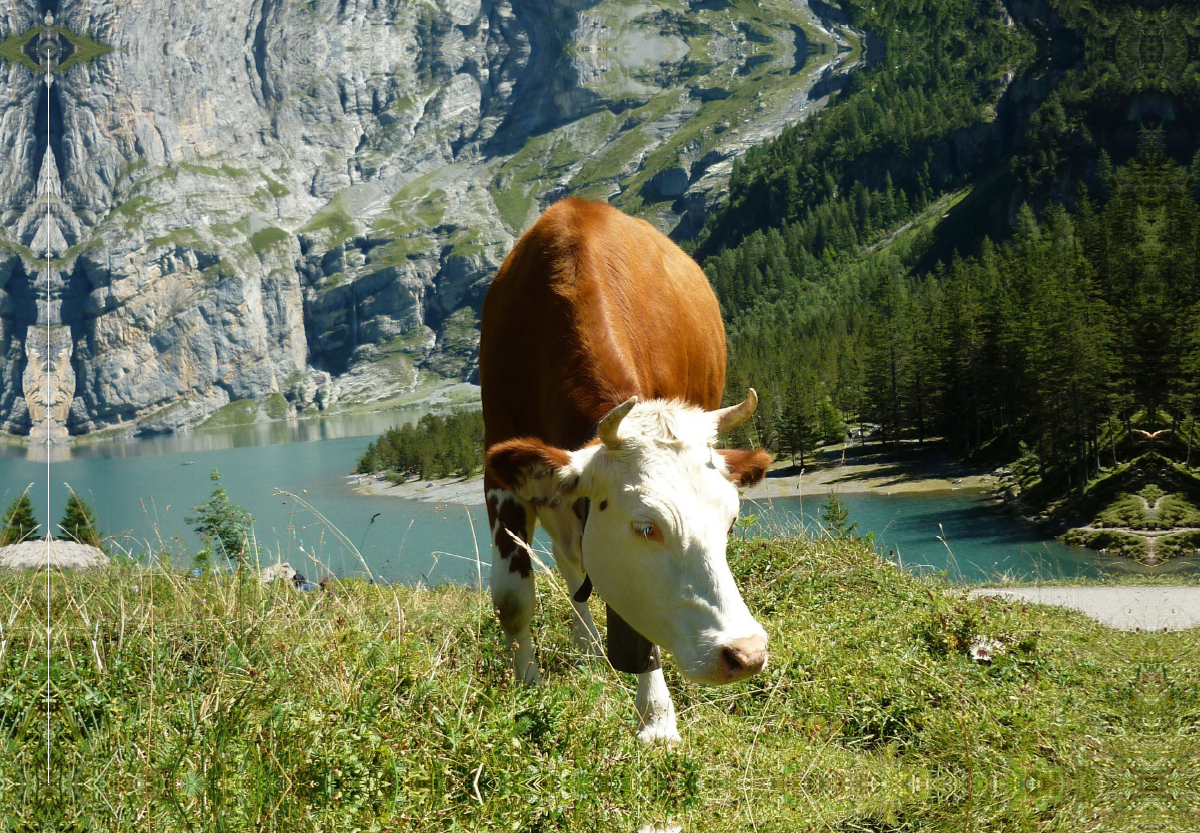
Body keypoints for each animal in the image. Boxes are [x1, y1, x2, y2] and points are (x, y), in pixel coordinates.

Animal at [477, 199, 768, 748]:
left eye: (731, 523)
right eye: (645, 527)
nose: (746, 653)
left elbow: (633, 622)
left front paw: (657, 718)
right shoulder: (502, 468)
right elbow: (513, 600)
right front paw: (526, 688)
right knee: (570, 561)